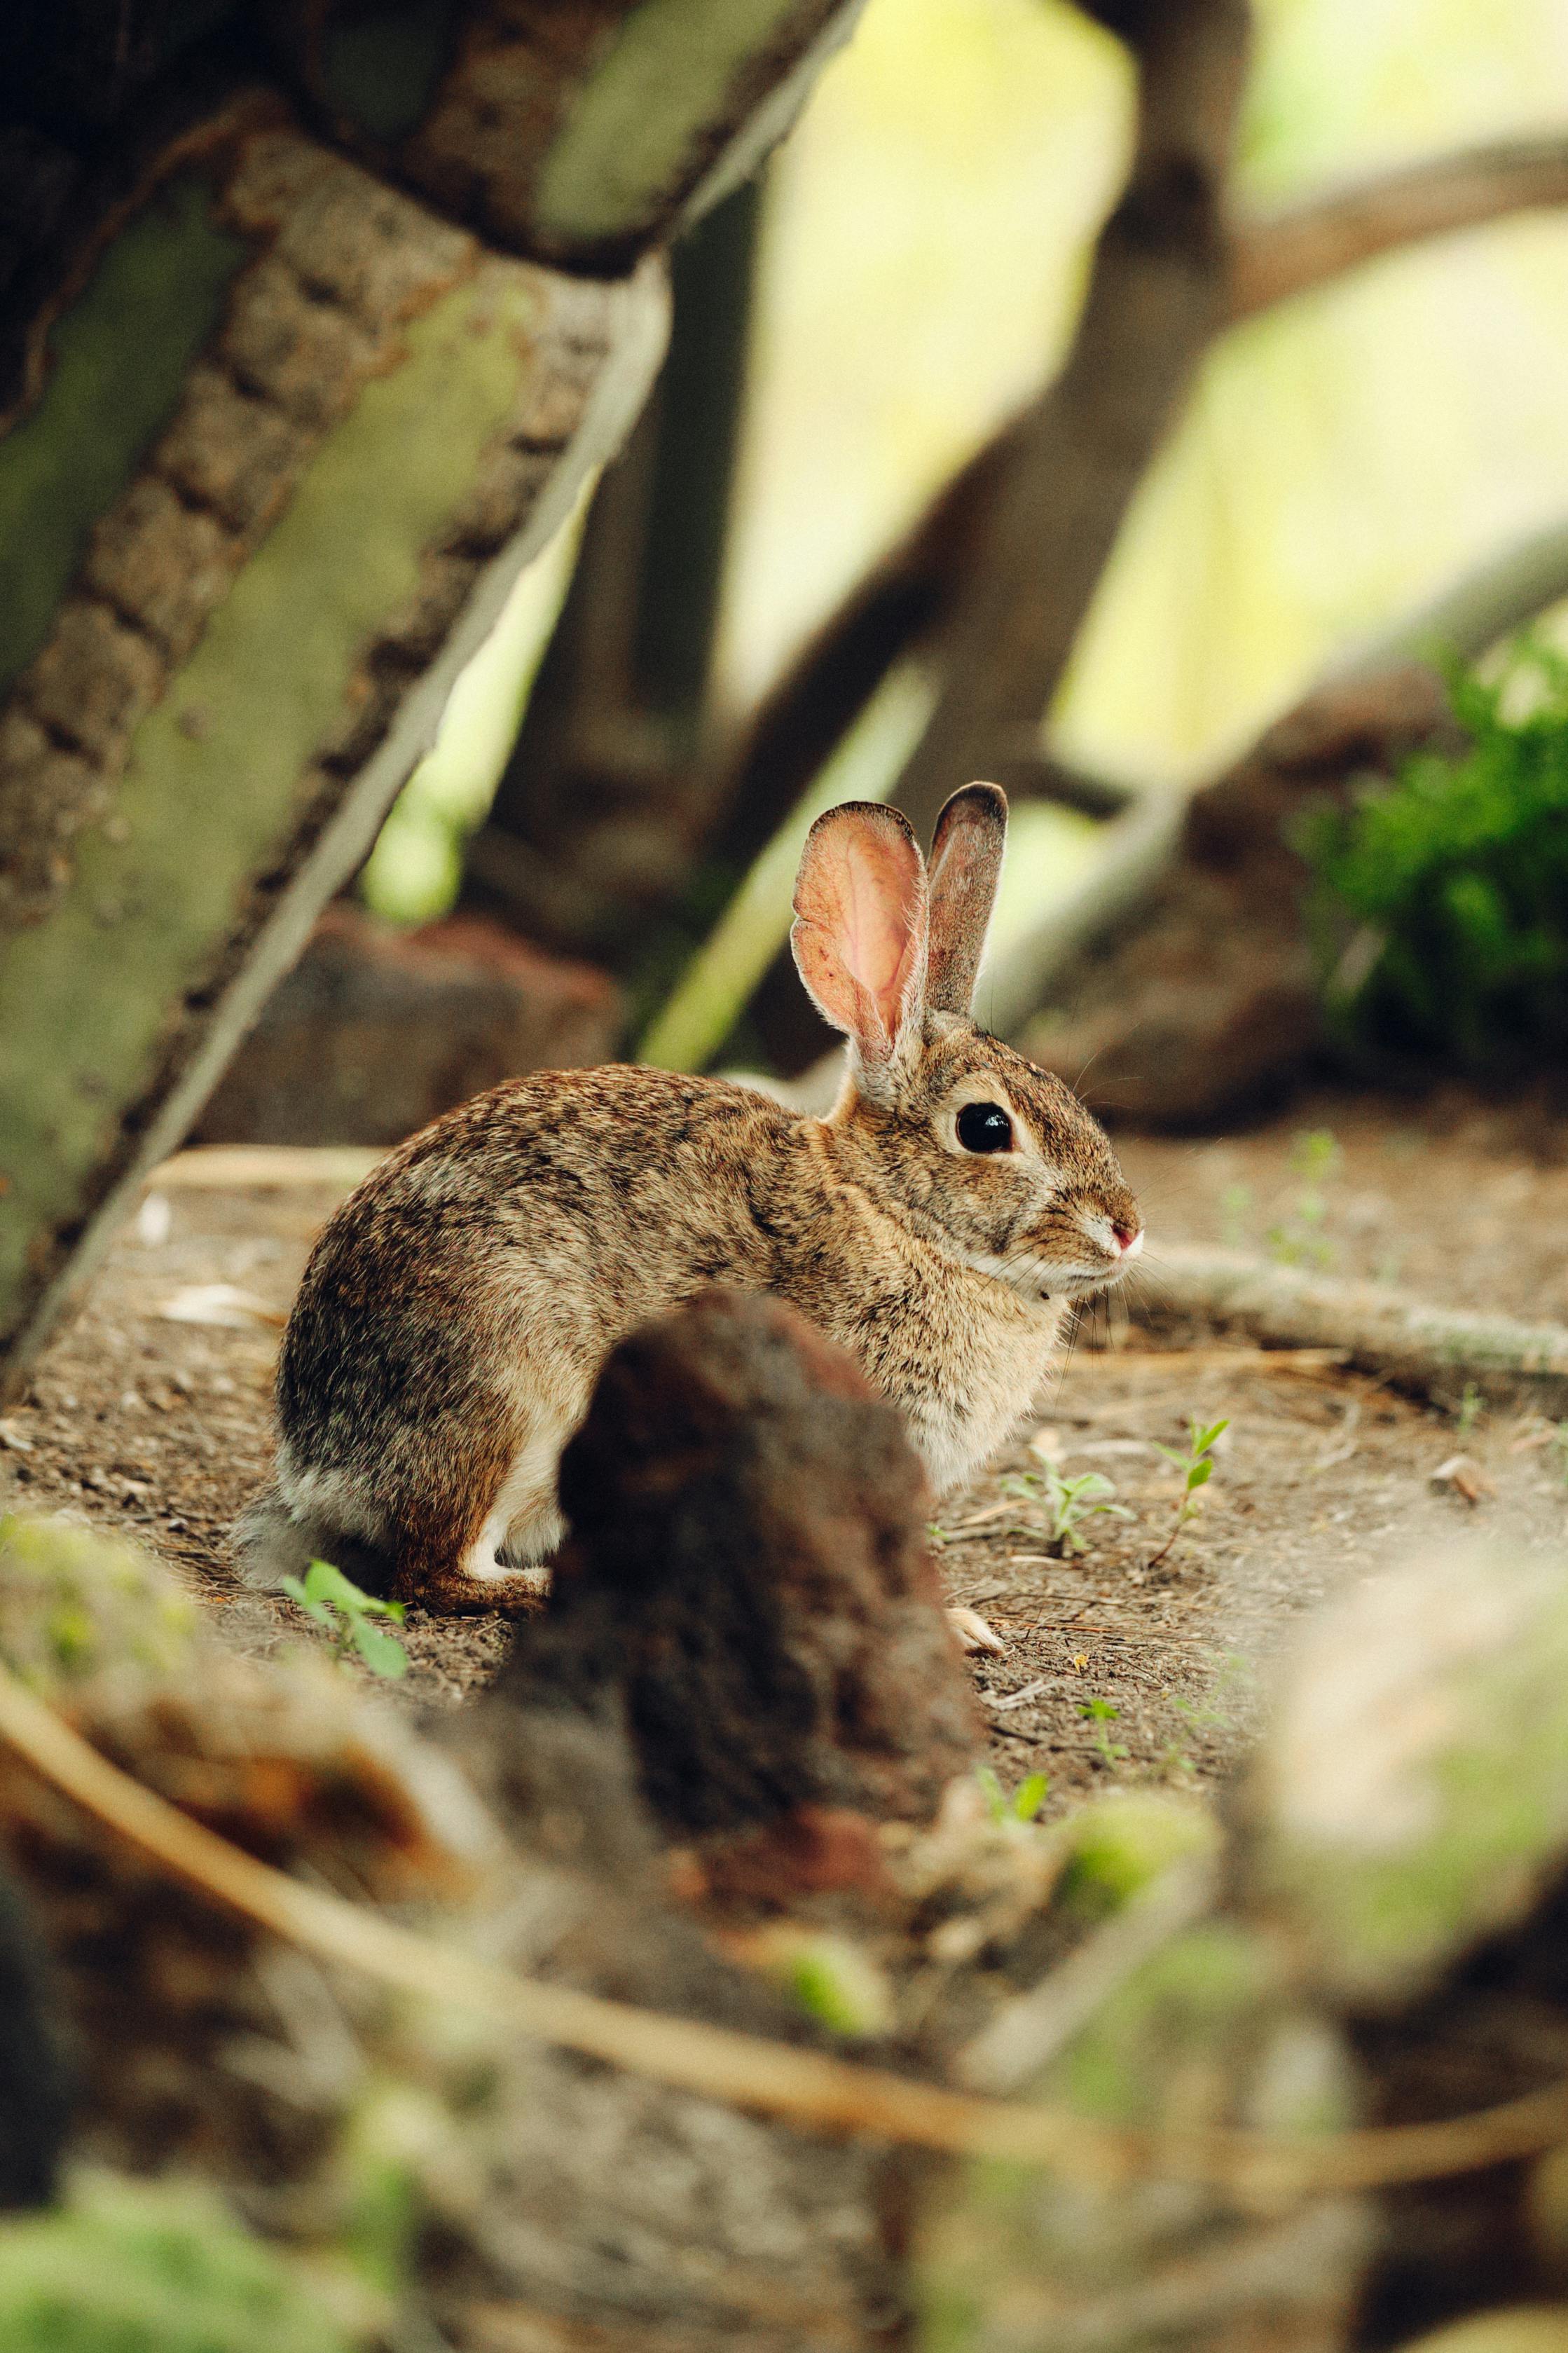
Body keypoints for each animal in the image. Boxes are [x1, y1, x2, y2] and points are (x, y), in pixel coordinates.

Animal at [235, 786, 1134, 1619]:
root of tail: (316, 1456)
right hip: (507, 1393)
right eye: (986, 1128)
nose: (1126, 1229)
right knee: (434, 1569)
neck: (892, 1210)